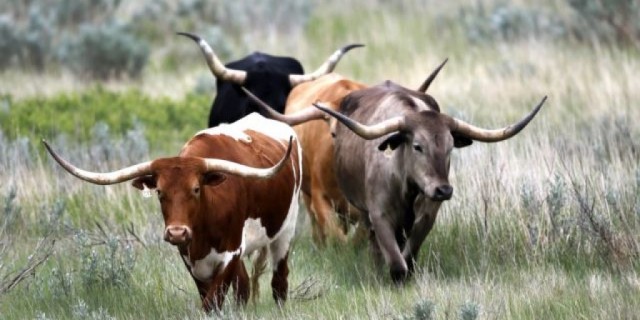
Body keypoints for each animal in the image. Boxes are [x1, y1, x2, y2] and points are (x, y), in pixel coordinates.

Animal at [43, 114, 302, 312]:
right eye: (159, 191)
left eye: (196, 189)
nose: (177, 233)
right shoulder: (191, 260)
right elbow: (210, 301)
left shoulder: (231, 253)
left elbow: (213, 301)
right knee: (245, 286)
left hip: (285, 232)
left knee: (279, 282)